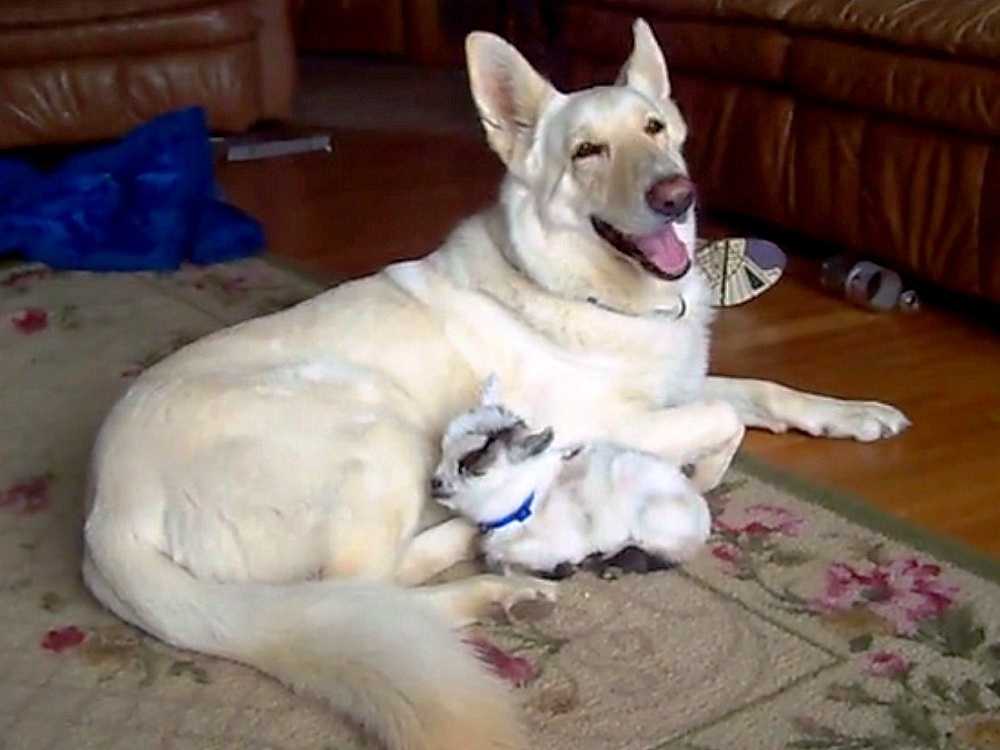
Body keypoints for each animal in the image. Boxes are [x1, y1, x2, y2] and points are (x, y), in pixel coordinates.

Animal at [86, 22, 912, 750]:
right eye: (586, 151)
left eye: (656, 128)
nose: (677, 195)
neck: (587, 290)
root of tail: (106, 516)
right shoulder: (611, 423)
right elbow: (720, 421)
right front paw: (703, 473)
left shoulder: (678, 384)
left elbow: (762, 391)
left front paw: (854, 414)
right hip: (373, 429)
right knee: (364, 590)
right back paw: (491, 576)